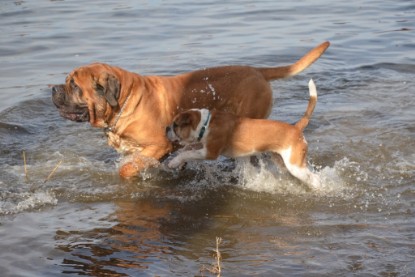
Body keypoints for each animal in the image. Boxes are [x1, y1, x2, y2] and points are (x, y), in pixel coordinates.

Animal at [52, 40, 330, 177]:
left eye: (73, 85)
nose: (53, 89)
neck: (126, 100)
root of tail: (258, 71)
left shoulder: (159, 145)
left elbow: (127, 168)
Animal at [166, 78, 322, 189]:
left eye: (175, 125)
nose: (166, 128)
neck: (206, 123)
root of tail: (296, 128)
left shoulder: (210, 152)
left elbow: (187, 153)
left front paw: (174, 162)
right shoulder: (202, 143)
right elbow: (187, 149)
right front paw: (179, 163)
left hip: (295, 165)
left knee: (314, 178)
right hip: (282, 161)